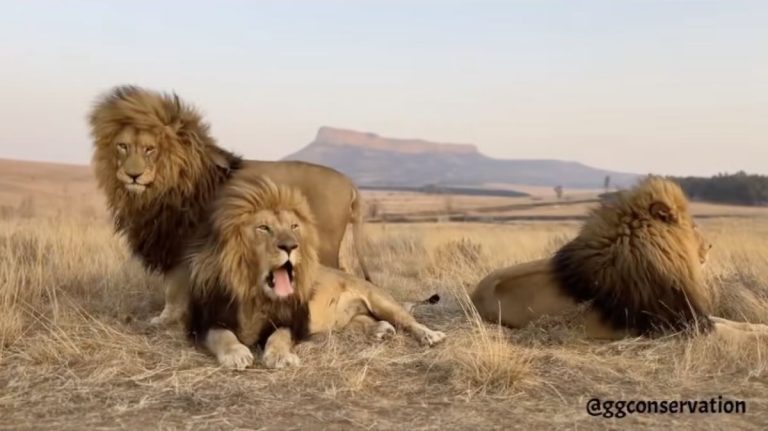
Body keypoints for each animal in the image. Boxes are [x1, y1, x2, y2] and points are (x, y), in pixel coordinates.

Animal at [88, 85, 371, 326]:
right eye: (123, 146)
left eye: (149, 149)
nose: (132, 175)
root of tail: (349, 183)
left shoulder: (181, 242)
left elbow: (173, 288)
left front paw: (166, 319)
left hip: (323, 246)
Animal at [186, 174, 446, 369]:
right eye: (263, 228)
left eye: (294, 226)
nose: (290, 246)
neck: (255, 295)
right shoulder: (205, 322)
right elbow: (222, 335)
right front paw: (236, 353)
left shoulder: (293, 322)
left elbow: (279, 336)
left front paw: (280, 357)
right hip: (347, 319)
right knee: (365, 321)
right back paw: (381, 330)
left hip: (380, 299)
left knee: (408, 321)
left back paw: (429, 335)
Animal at [471, 176, 768, 340]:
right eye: (694, 226)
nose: (710, 245)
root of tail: (473, 295)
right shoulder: (674, 326)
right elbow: (731, 332)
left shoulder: (690, 314)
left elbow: (732, 323)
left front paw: (761, 328)